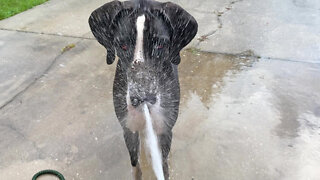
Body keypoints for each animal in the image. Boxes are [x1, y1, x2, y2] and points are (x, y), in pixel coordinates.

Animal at [88, 0, 198, 179]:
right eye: (122, 45)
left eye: (160, 45)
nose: (141, 97)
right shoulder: (129, 127)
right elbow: (135, 162)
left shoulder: (164, 129)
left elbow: (163, 165)